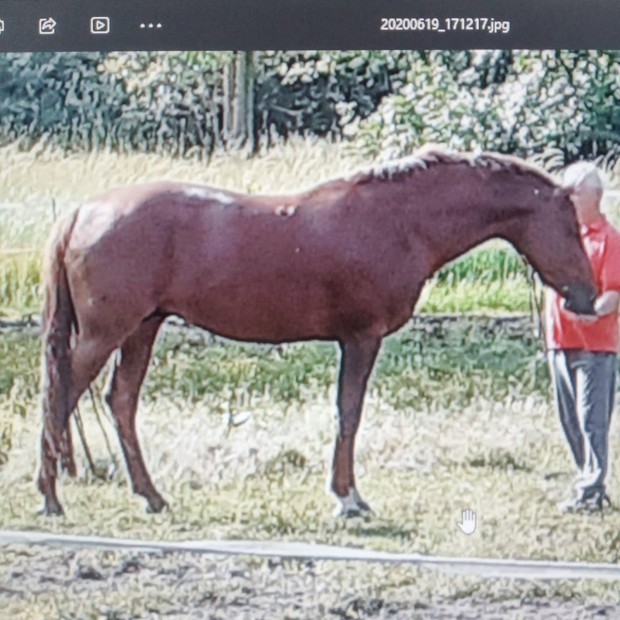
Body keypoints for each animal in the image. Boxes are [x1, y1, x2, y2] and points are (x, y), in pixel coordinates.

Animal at [37, 151, 596, 520]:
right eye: (571, 226)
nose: (587, 297)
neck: (398, 221)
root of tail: (82, 212)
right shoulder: (361, 337)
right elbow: (349, 413)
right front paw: (349, 498)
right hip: (105, 334)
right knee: (61, 397)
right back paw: (50, 497)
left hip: (141, 330)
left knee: (120, 402)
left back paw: (151, 496)